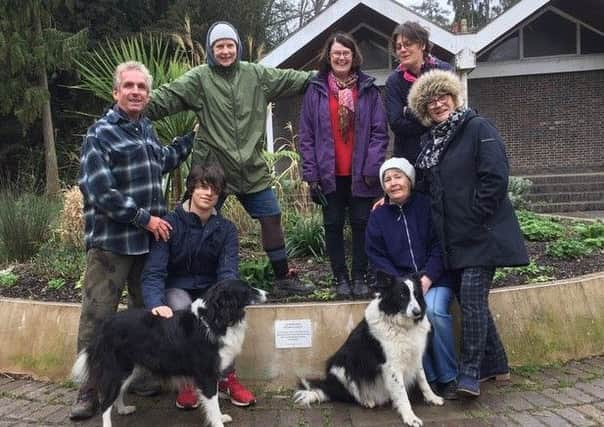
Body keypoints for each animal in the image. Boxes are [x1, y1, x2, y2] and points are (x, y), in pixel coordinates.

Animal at [72, 280, 266, 427]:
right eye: (247, 290)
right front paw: (218, 422)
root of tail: (104, 326)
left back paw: (123, 409)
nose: (267, 293)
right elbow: (213, 402)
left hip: (128, 369)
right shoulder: (207, 375)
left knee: (118, 393)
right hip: (118, 369)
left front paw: (221, 417)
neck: (215, 318)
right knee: (105, 403)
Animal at [294, 272, 444, 426]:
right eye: (402, 295)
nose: (417, 312)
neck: (402, 326)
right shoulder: (392, 365)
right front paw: (410, 417)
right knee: (351, 394)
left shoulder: (415, 356)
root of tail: (329, 387)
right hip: (341, 367)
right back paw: (366, 400)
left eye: (416, 294)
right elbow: (402, 394)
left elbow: (423, 380)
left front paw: (432, 397)